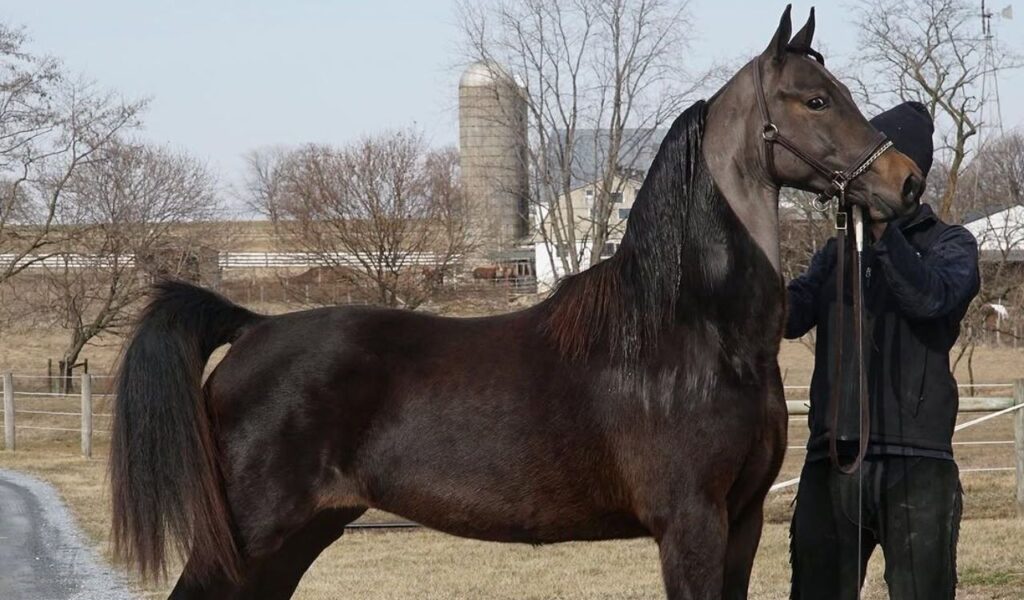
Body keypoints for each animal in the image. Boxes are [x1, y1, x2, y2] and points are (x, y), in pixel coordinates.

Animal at [110, 7, 923, 599]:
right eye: (816, 99)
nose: (908, 182)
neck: (692, 334)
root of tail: (252, 328)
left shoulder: (744, 521)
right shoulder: (690, 524)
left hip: (300, 534)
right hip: (249, 538)